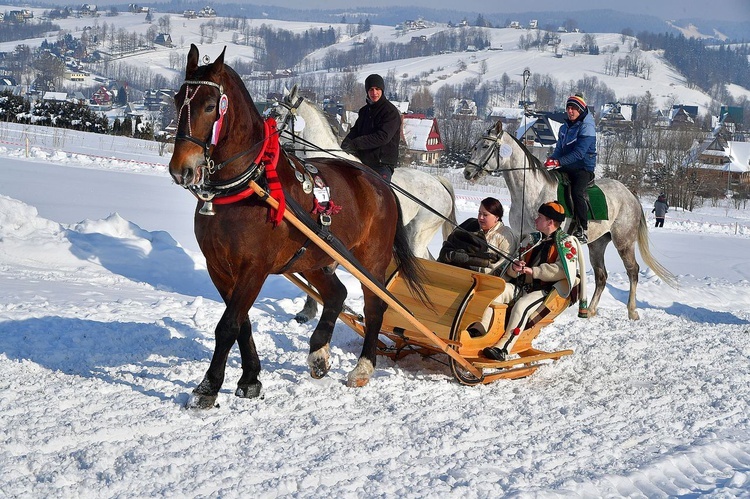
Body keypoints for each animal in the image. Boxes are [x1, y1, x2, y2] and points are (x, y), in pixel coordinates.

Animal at [172, 45, 428, 408]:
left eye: (210, 105)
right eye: (177, 99)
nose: (181, 168)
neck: (249, 185)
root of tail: (380, 184)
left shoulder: (255, 267)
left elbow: (228, 325)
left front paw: (207, 388)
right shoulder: (218, 267)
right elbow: (242, 323)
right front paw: (251, 379)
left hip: (371, 259)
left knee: (374, 305)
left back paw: (362, 367)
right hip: (314, 257)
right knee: (337, 294)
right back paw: (319, 351)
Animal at [468, 123, 680, 322]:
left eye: (485, 145)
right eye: (475, 145)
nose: (467, 172)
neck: (532, 191)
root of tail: (629, 194)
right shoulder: (524, 236)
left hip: (624, 242)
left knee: (632, 271)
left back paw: (632, 311)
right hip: (597, 244)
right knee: (601, 276)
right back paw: (591, 310)